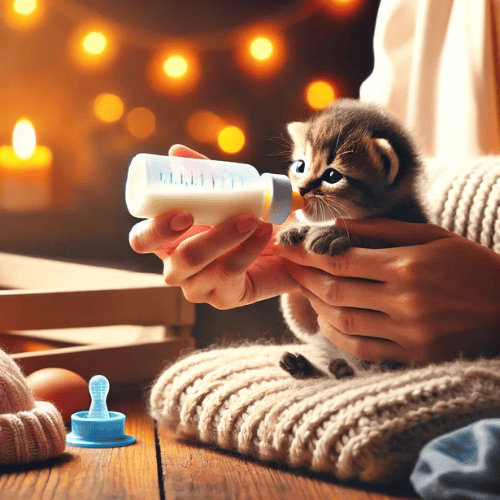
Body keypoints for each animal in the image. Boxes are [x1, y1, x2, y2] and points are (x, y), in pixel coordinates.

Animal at [276, 96, 428, 378]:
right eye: (300, 166)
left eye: (333, 176)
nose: (299, 189)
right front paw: (299, 229)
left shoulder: (407, 231)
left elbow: (368, 239)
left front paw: (332, 234)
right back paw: (307, 367)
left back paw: (345, 370)